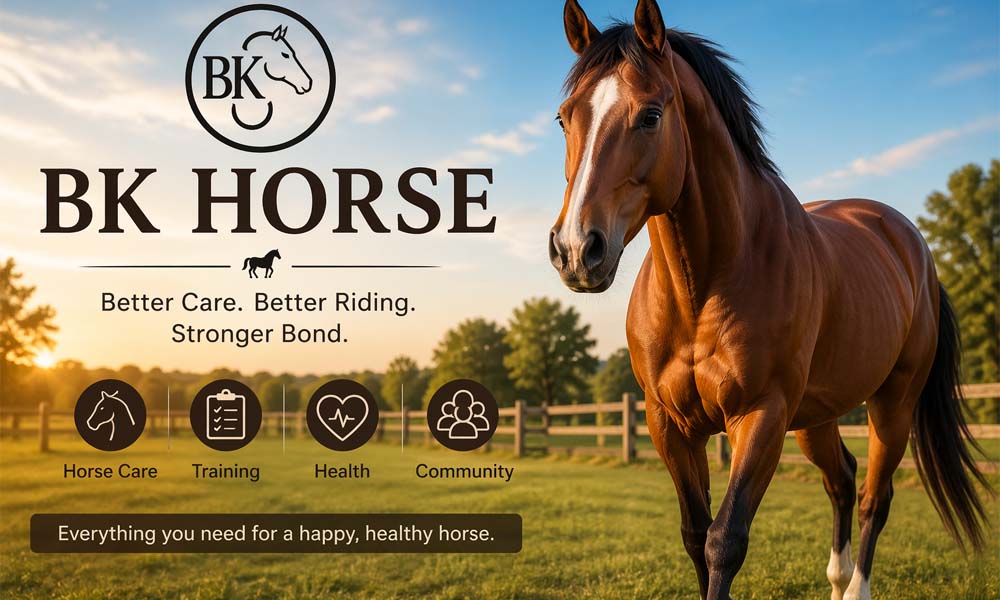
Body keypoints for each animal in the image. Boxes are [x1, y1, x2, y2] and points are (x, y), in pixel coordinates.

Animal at [547, 2, 991, 599]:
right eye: (565, 118)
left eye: (650, 116)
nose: (576, 249)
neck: (702, 288)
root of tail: (911, 244)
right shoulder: (669, 425)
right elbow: (695, 535)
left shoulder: (761, 416)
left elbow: (723, 541)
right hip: (816, 417)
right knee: (842, 480)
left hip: (891, 405)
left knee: (874, 498)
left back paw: (856, 585)